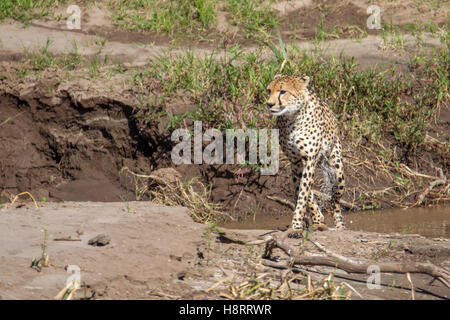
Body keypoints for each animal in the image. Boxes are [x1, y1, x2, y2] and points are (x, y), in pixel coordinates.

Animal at [266, 74, 346, 236]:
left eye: (282, 91)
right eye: (269, 90)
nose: (269, 104)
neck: (292, 117)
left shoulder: (309, 159)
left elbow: (303, 193)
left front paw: (296, 225)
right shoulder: (295, 161)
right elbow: (305, 193)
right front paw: (316, 219)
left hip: (338, 170)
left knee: (335, 199)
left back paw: (340, 226)